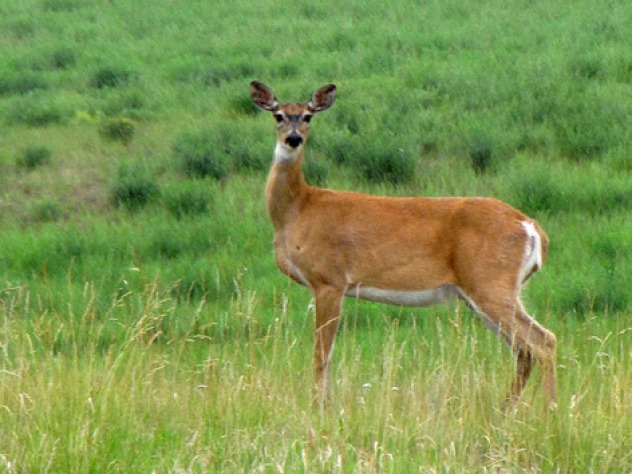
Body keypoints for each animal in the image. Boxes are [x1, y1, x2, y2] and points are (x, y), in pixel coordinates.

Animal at [249, 81, 556, 412]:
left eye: (308, 116)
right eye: (278, 115)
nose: (293, 139)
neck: (299, 209)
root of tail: (531, 228)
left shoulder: (329, 280)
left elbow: (322, 354)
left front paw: (319, 407)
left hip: (490, 282)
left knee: (543, 341)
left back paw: (550, 411)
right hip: (481, 292)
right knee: (524, 351)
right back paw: (503, 410)